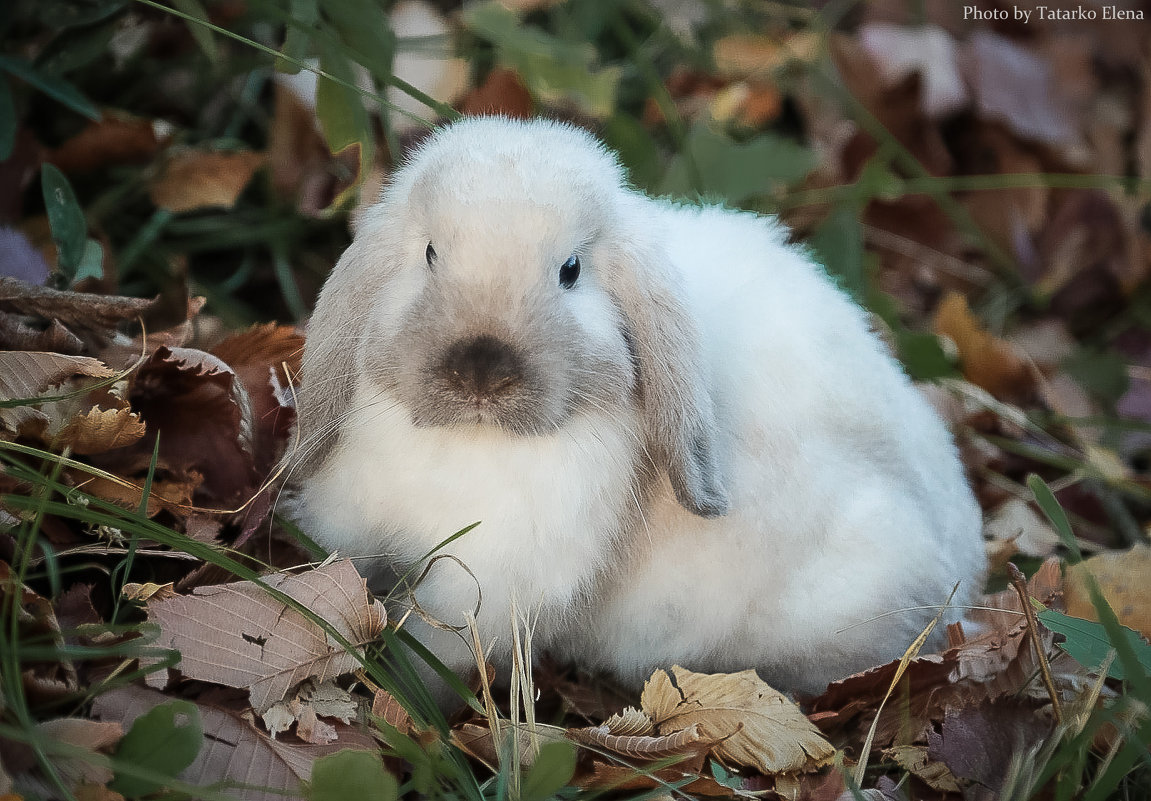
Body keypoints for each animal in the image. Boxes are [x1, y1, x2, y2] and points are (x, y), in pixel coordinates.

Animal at [283, 115, 985, 704]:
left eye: (570, 270)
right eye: (430, 254)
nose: (481, 369)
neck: (472, 442)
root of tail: (966, 572)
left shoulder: (493, 582)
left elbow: (438, 648)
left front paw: (404, 689)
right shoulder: (352, 518)